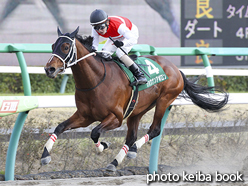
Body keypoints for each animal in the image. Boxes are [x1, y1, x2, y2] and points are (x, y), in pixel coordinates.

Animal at [42, 27, 229, 171]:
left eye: (66, 46)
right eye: (53, 45)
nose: (49, 69)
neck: (95, 80)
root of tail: (176, 69)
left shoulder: (116, 118)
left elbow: (94, 132)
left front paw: (103, 146)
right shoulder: (85, 116)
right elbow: (60, 127)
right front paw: (45, 155)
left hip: (164, 100)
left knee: (154, 130)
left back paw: (131, 150)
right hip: (137, 109)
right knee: (131, 136)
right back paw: (117, 161)